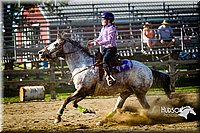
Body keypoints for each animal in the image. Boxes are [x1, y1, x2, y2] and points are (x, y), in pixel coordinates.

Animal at [38, 33, 171, 125]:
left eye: (55, 44)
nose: (40, 53)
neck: (82, 64)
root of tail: (149, 70)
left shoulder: (82, 90)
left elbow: (66, 100)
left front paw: (57, 118)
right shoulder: (85, 92)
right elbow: (74, 103)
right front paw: (87, 110)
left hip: (139, 93)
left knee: (147, 108)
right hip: (125, 93)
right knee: (117, 108)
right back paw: (101, 121)